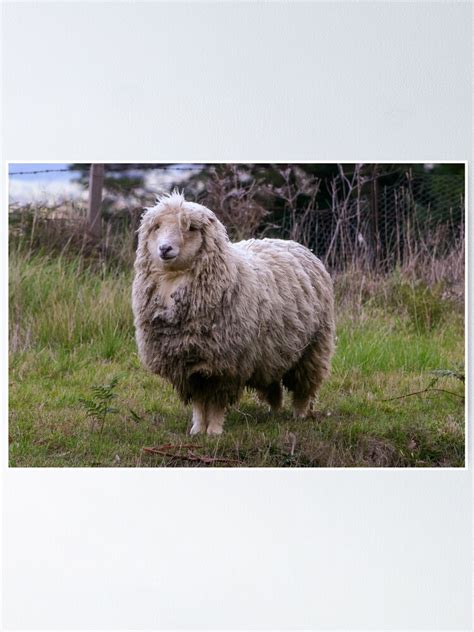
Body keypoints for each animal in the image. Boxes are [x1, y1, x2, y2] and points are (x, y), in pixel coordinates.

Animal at [131, 191, 336, 434]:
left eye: (190, 228)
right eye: (157, 227)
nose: (164, 249)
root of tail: (289, 242)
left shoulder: (226, 364)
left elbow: (217, 401)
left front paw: (214, 431)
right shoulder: (189, 365)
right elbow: (199, 402)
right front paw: (197, 430)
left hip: (314, 346)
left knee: (305, 386)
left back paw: (300, 415)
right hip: (273, 350)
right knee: (273, 383)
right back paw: (274, 412)